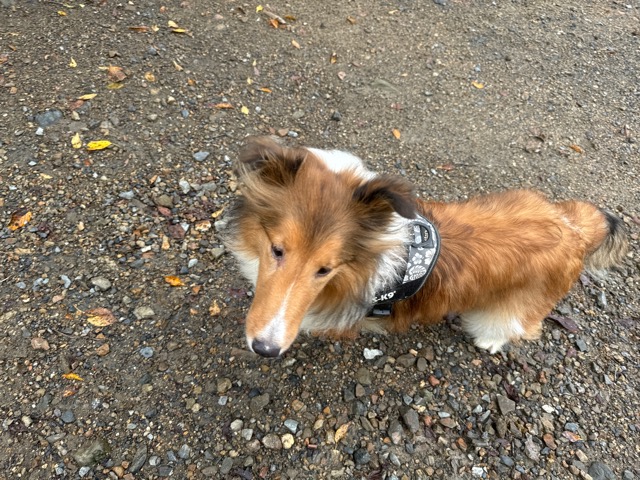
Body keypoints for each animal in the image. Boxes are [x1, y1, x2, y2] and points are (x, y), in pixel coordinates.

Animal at [225, 136, 628, 357]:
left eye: (325, 269)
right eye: (277, 250)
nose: (266, 349)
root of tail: (572, 228)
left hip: (517, 306)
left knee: (515, 325)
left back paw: (490, 341)